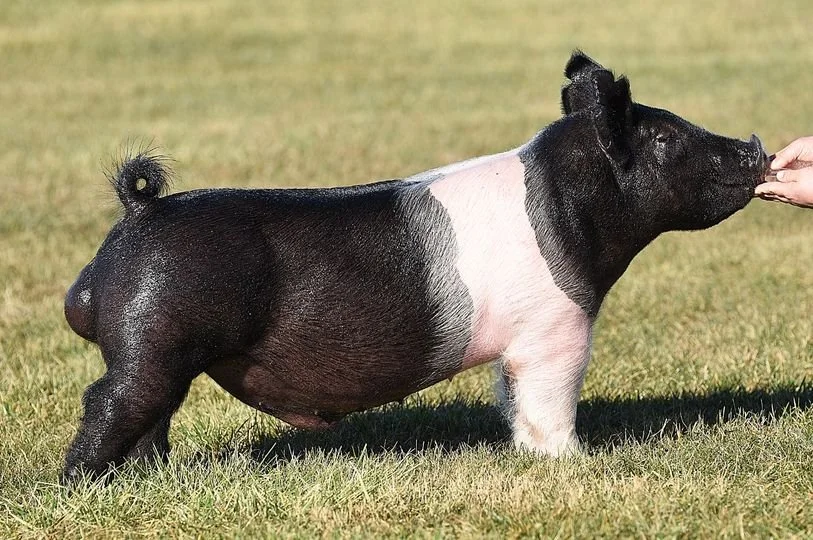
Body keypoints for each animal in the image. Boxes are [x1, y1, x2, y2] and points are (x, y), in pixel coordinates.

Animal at [62, 52, 769, 484]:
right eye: (668, 139)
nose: (754, 145)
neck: (571, 214)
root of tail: (138, 213)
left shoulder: (517, 346)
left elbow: (511, 398)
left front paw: (529, 456)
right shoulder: (555, 328)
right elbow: (551, 397)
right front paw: (573, 461)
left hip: (163, 354)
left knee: (150, 419)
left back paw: (149, 479)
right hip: (154, 338)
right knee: (107, 403)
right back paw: (81, 489)